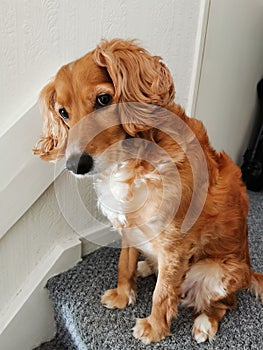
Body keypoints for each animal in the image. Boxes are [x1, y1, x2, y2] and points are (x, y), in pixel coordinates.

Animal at [33, 39, 263, 344]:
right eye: (63, 113)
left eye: (103, 100)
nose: (75, 165)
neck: (132, 161)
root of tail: (249, 271)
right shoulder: (128, 226)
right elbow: (124, 264)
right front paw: (123, 295)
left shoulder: (174, 246)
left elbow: (162, 293)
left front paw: (154, 328)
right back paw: (147, 266)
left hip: (215, 272)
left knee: (225, 303)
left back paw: (205, 323)